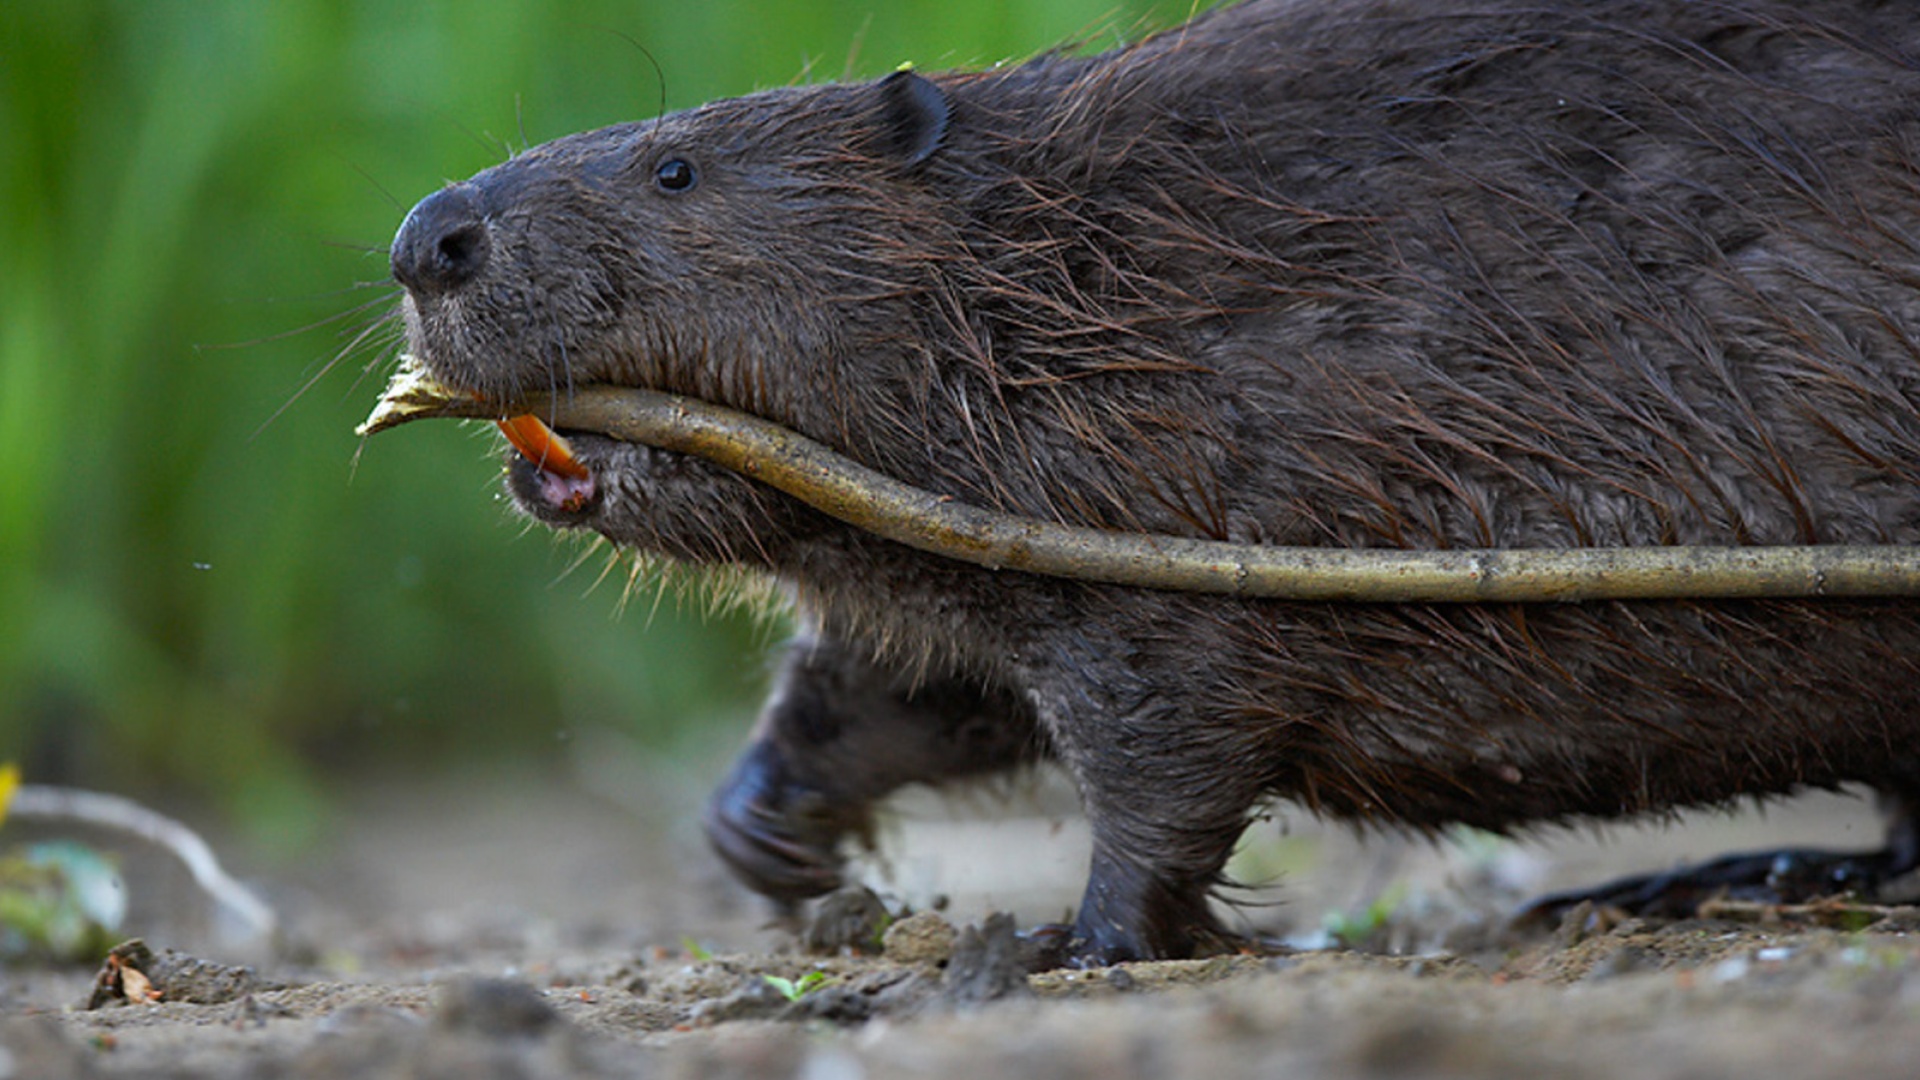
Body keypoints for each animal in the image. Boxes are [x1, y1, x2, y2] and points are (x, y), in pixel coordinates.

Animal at [385, 0, 1920, 957]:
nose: (426, 238)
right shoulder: (985, 547)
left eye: (675, 168)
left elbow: (1164, 757)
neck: (1080, 274)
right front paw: (766, 838)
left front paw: (1077, 941)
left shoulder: (1190, 536)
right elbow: (904, 693)